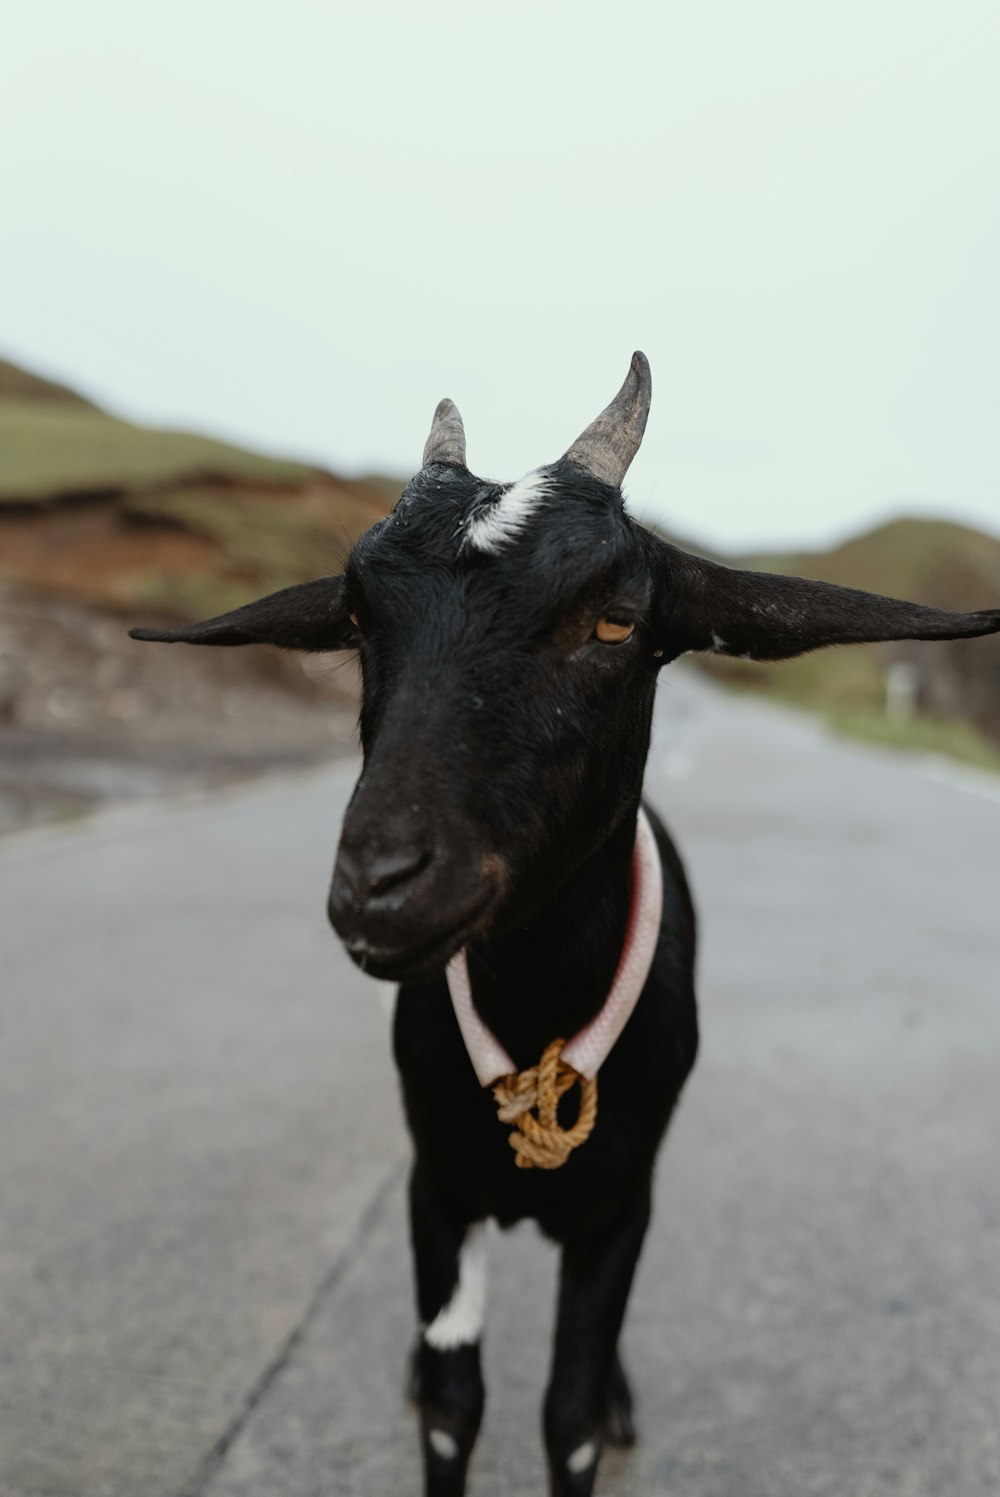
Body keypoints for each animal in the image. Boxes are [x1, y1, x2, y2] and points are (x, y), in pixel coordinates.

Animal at [130, 353, 999, 1497]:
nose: (380, 884)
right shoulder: (435, 1189)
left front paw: (601, 1407)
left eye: (617, 619)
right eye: (357, 620)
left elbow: (570, 1409)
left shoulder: (618, 1208)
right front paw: (433, 1392)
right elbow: (454, 1406)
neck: (539, 1006)